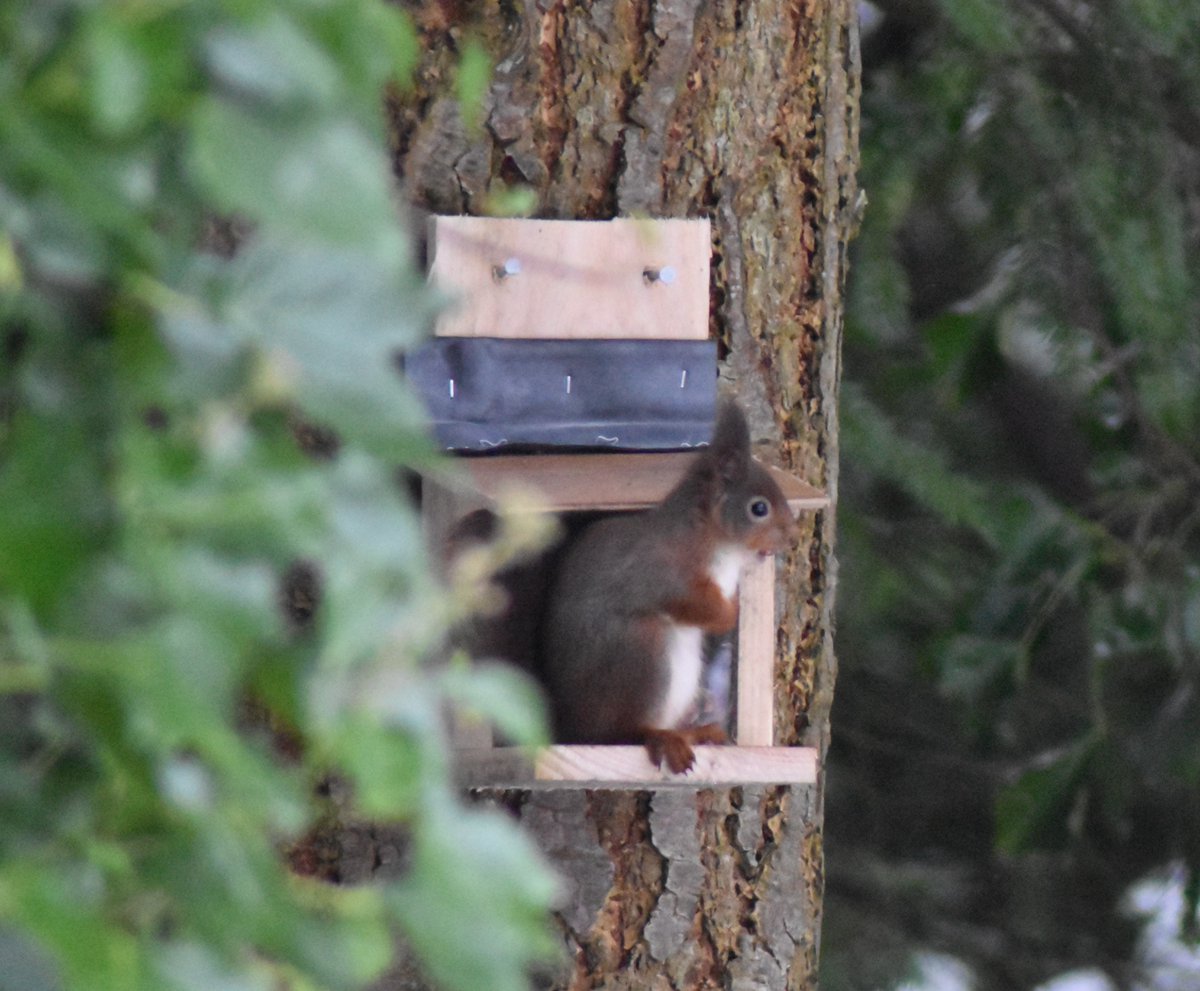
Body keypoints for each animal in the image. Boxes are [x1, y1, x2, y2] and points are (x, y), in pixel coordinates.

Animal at [544, 400, 796, 772]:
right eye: (759, 508)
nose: (792, 536)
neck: (717, 544)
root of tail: (575, 731)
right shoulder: (661, 574)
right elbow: (695, 605)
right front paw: (729, 613)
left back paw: (698, 732)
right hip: (642, 653)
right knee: (623, 732)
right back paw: (662, 738)